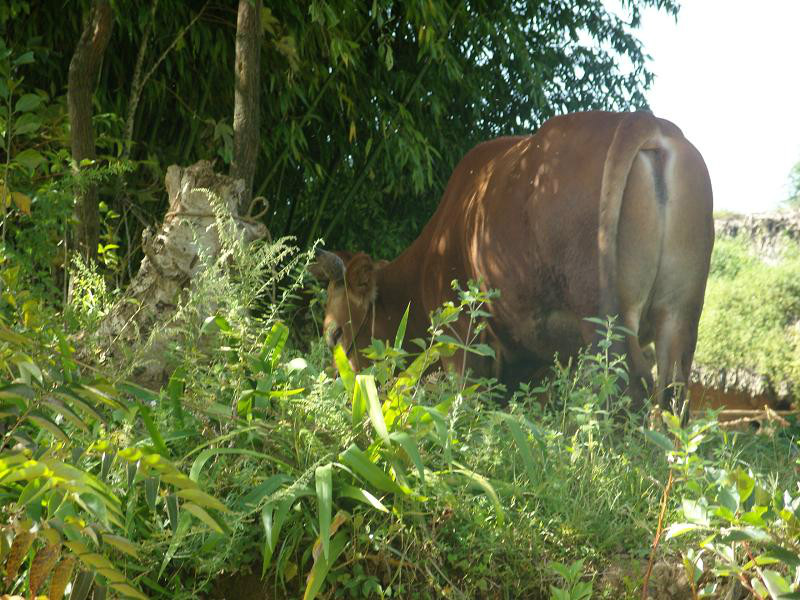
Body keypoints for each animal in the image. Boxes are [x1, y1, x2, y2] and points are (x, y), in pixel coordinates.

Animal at [310, 111, 712, 412]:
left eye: (334, 334)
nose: (347, 392)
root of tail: (641, 120)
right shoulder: (532, 355)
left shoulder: (462, 337)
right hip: (680, 315)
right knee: (674, 396)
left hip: (603, 320)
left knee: (631, 389)